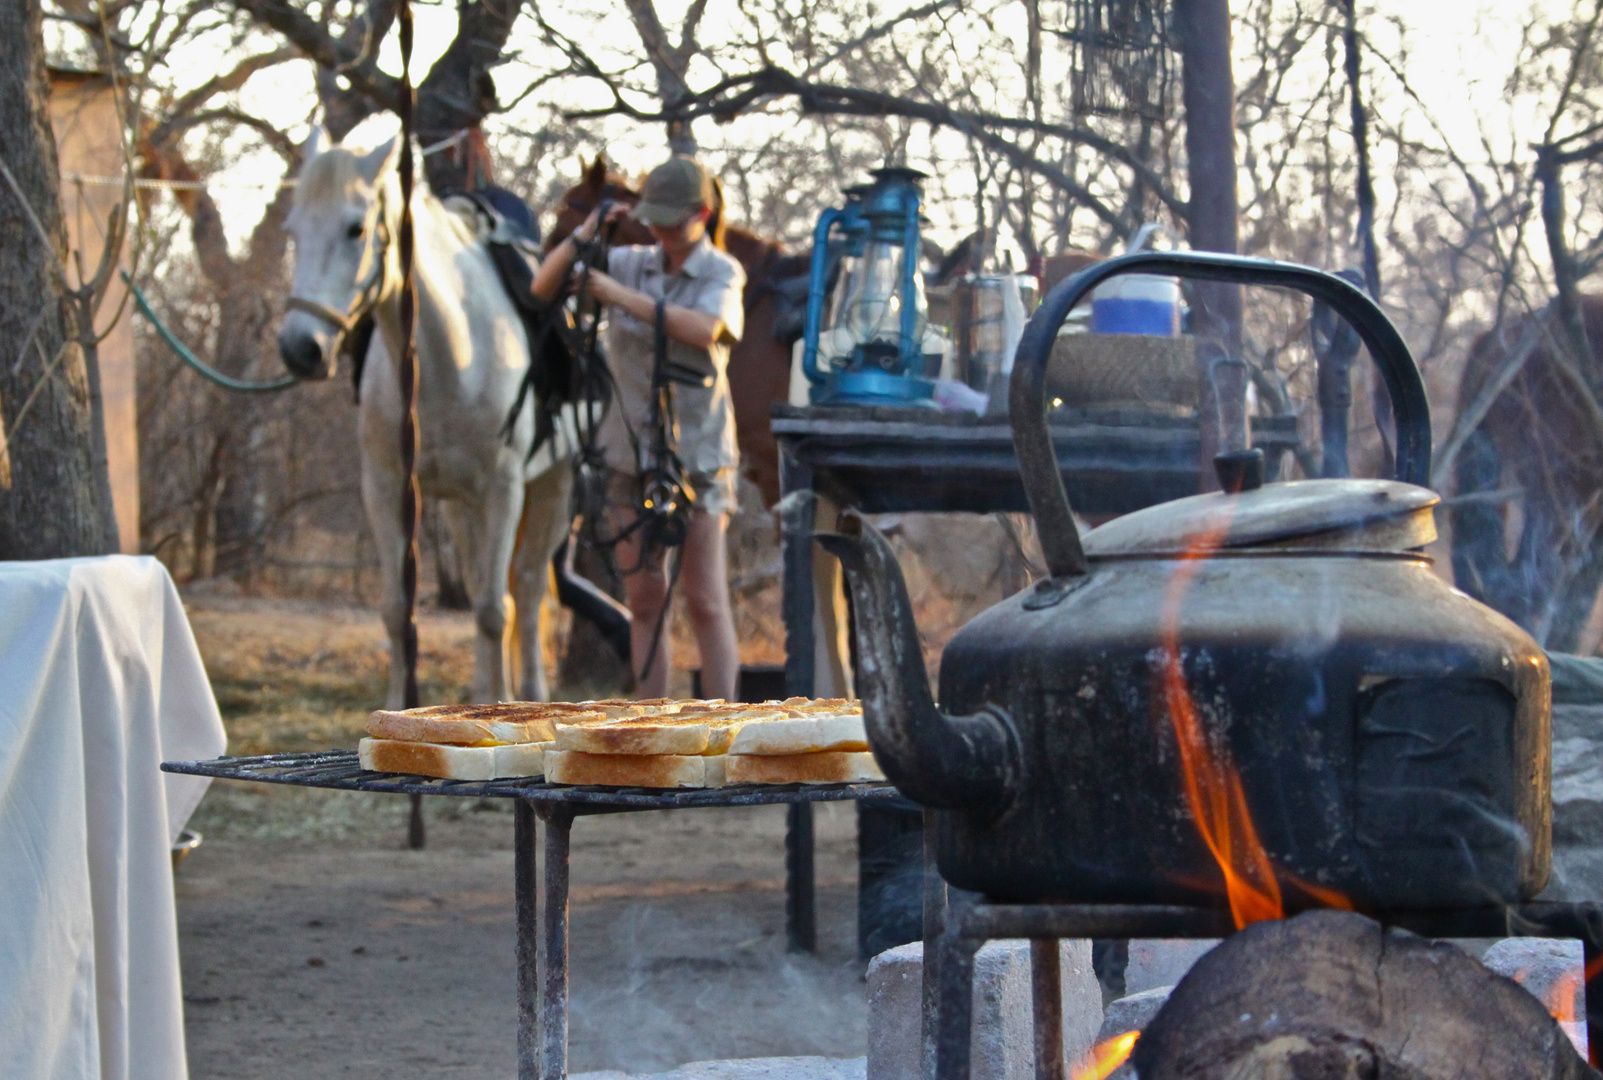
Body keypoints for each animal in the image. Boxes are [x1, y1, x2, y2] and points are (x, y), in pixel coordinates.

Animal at [275, 130, 570, 705]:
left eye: (356, 228)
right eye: (293, 229)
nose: (301, 349)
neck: (449, 356)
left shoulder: (505, 489)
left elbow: (494, 609)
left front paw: (504, 706)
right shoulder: (387, 489)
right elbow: (397, 610)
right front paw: (401, 706)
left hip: (553, 489)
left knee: (524, 590)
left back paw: (527, 691)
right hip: (461, 507)